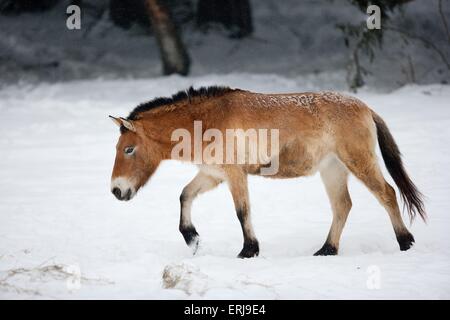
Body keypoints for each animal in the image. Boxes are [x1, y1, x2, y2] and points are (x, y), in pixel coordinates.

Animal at [110, 86, 426, 258]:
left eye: (128, 149)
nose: (116, 190)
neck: (206, 122)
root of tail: (366, 108)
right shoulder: (212, 175)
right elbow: (184, 196)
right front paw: (192, 238)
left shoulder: (234, 175)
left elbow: (242, 212)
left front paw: (248, 250)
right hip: (333, 170)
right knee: (342, 206)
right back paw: (327, 250)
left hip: (358, 161)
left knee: (387, 194)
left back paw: (405, 242)